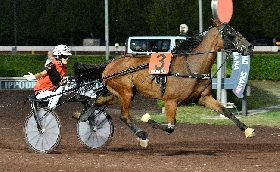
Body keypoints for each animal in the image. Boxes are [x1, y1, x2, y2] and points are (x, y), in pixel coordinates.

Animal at [97, 19, 256, 147]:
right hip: (126, 92)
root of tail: (109, 66)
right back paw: (141, 134)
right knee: (124, 116)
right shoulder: (170, 101)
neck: (191, 67)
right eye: (231, 32)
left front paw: (247, 130)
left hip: (118, 93)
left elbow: (226, 111)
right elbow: (170, 127)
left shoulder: (203, 98)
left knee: (98, 104)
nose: (249, 46)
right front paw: (149, 120)